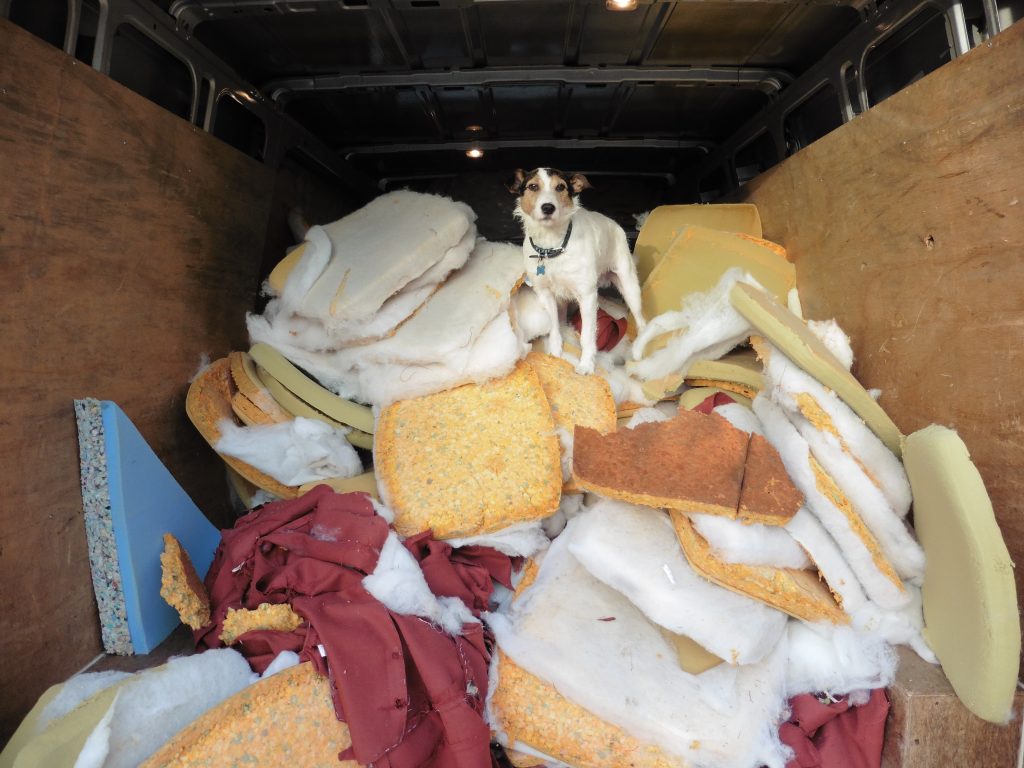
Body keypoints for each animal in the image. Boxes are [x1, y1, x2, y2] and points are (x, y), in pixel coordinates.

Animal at [507, 167, 643, 376]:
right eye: (533, 186)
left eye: (560, 187)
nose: (548, 207)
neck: (552, 247)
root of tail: (616, 224)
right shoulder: (545, 293)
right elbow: (554, 325)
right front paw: (555, 350)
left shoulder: (587, 296)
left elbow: (587, 335)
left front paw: (586, 364)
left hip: (629, 287)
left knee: (642, 320)